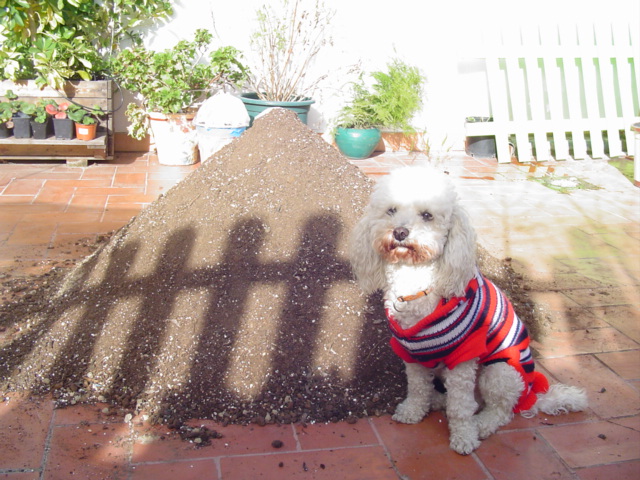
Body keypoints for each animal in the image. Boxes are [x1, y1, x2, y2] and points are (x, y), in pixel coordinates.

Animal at [352, 167, 588, 456]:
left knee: (499, 410)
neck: (416, 285)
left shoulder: (464, 359)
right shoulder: (412, 355)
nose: (399, 232)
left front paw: (464, 437)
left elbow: (460, 408)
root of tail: (533, 394)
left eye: (427, 215)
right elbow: (417, 389)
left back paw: (481, 424)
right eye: (391, 210)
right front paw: (413, 411)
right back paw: (437, 401)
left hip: (500, 373)